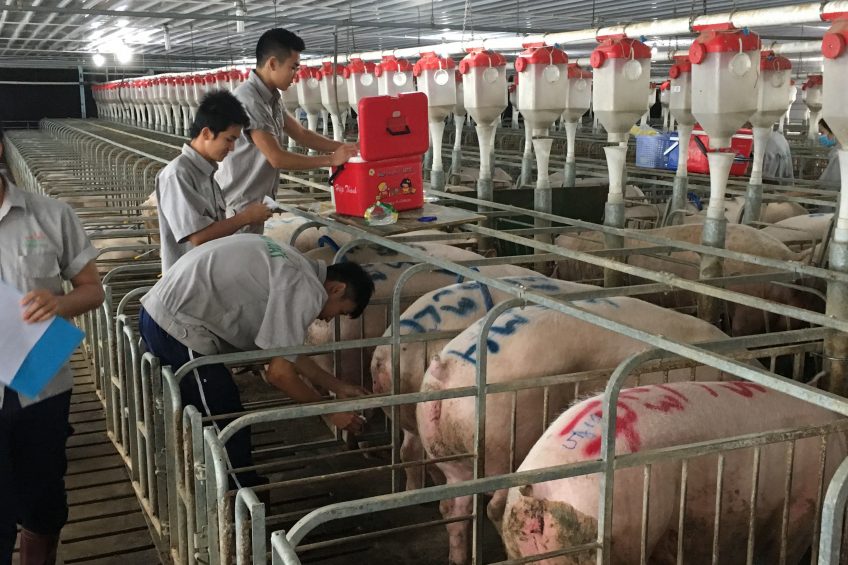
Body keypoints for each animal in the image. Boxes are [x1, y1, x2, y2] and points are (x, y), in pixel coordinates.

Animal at [414, 302, 732, 560]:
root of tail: (447, 368)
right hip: (501, 441)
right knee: (494, 505)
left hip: (449, 453)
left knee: (453, 507)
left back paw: (457, 557)